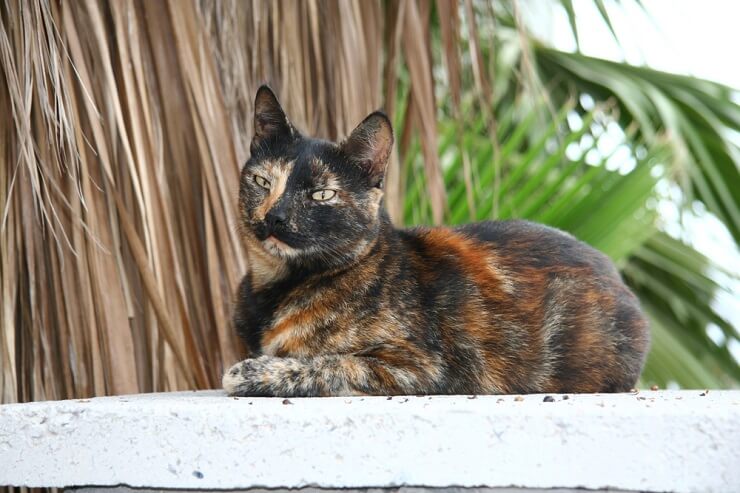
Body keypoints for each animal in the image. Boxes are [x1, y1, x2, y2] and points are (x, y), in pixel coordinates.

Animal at [223, 85, 652, 396]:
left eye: (322, 195)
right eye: (263, 182)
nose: (275, 216)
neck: (276, 289)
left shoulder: (420, 366)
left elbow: (327, 363)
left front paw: (250, 372)